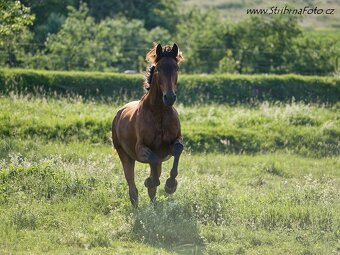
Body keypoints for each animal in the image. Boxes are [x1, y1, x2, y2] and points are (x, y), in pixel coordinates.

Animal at [112, 43, 183, 206]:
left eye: (176, 68)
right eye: (158, 69)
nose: (169, 97)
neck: (159, 113)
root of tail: (119, 113)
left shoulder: (173, 143)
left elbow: (178, 149)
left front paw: (170, 185)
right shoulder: (141, 148)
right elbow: (152, 159)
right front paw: (151, 181)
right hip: (125, 156)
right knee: (132, 187)